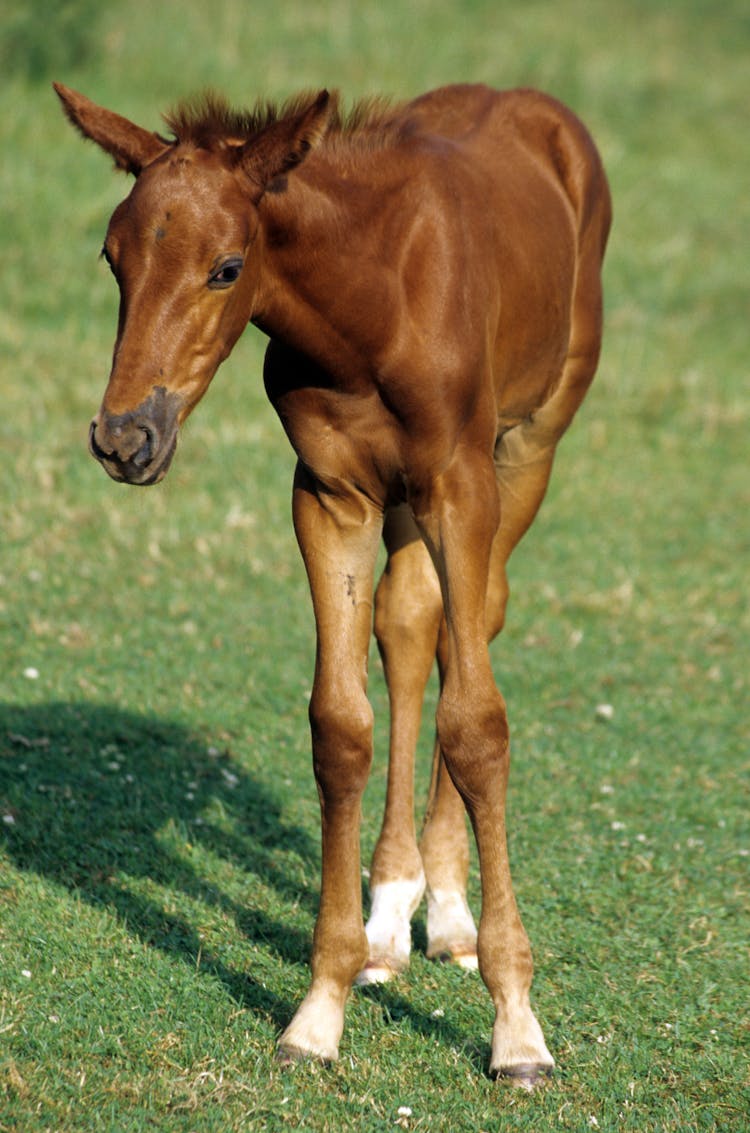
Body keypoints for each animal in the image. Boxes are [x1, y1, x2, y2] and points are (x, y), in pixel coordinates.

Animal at [57, 82, 611, 1087]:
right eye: (114, 258)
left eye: (227, 268)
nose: (125, 438)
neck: (371, 307)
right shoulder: (329, 496)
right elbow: (340, 725)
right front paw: (322, 1003)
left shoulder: (462, 485)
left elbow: (478, 722)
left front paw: (518, 1026)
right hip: (403, 508)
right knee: (409, 621)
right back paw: (395, 909)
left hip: (530, 447)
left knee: (473, 620)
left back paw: (449, 911)